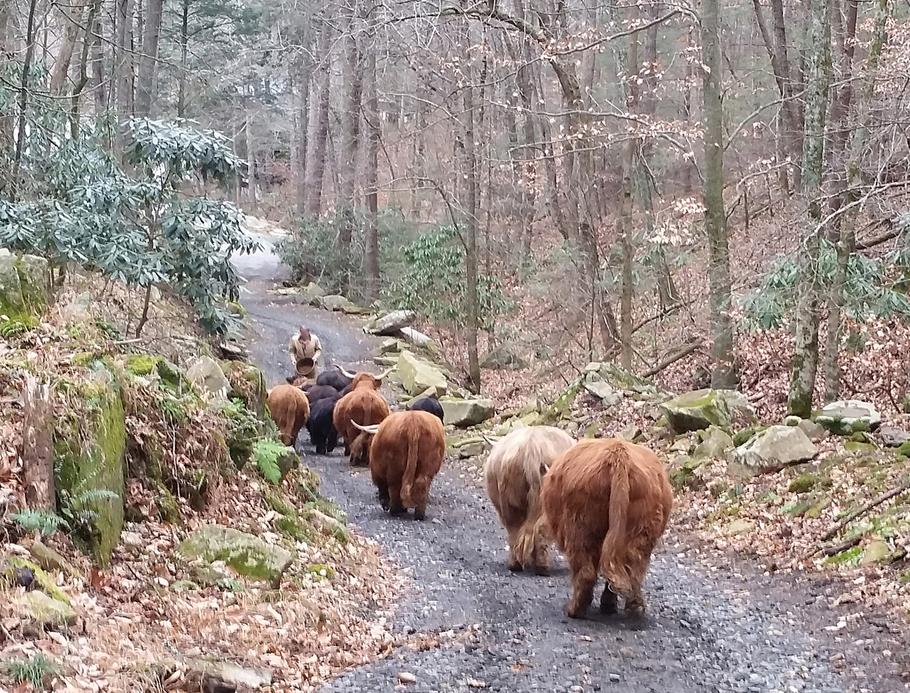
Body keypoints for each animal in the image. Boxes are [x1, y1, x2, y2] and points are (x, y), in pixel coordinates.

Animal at [488, 424, 572, 576]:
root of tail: (531, 448)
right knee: (539, 531)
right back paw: (542, 567)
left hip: (510, 502)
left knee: (515, 530)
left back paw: (515, 564)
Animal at [544, 438, 672, 616]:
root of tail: (618, 456)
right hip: (641, 527)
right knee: (632, 567)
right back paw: (633, 607)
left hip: (580, 525)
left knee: (585, 570)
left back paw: (575, 609)